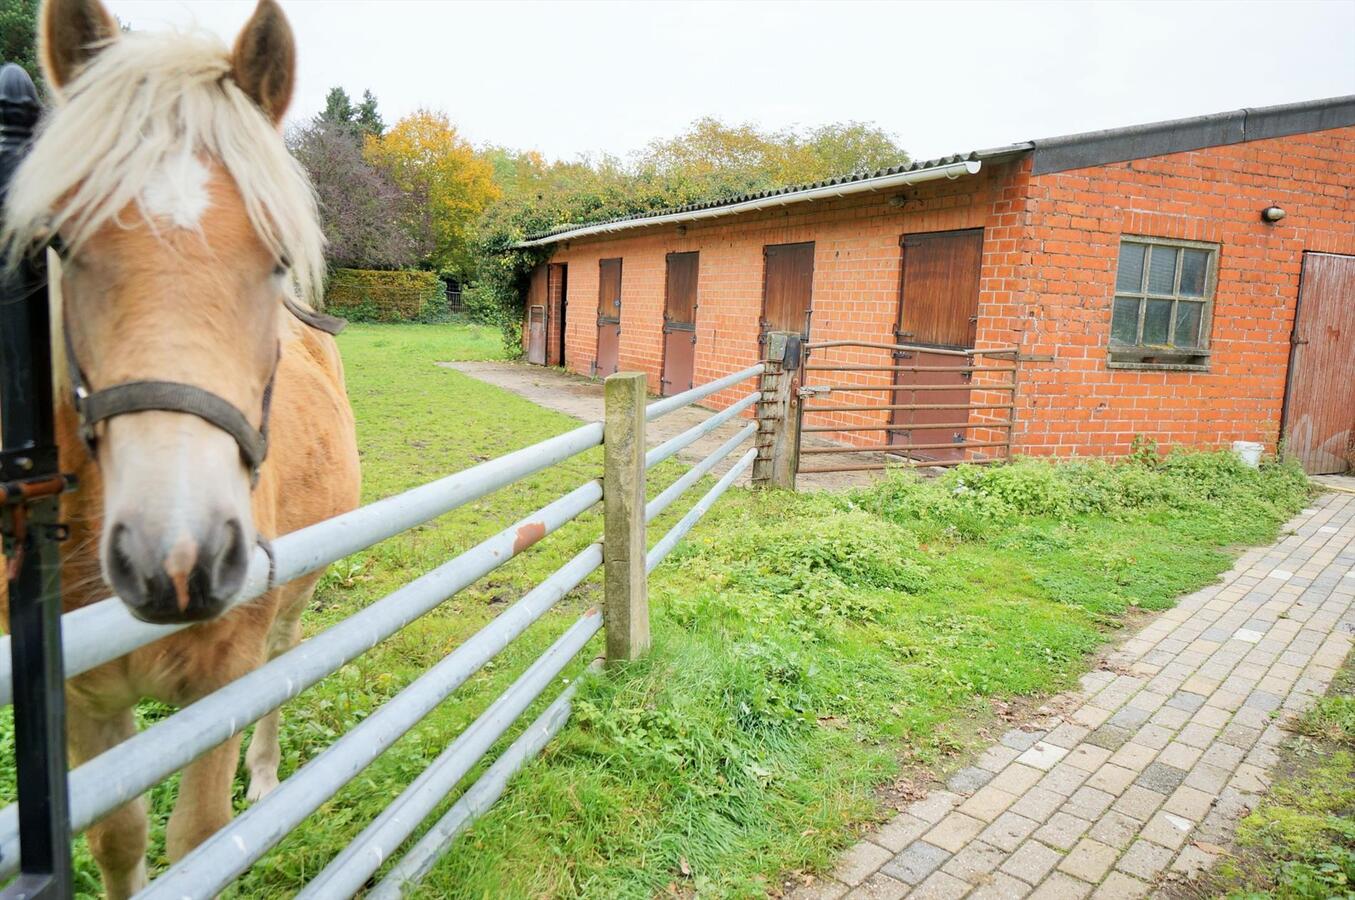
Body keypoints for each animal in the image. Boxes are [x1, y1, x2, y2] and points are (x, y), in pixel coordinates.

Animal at [1, 3, 360, 894]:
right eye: (63, 243)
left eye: (275, 258)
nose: (178, 557)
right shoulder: (84, 702)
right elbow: (118, 836)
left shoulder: (221, 684)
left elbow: (198, 837)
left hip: (291, 597)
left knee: (284, 665)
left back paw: (266, 775)